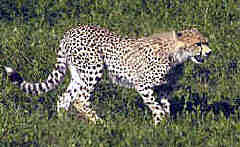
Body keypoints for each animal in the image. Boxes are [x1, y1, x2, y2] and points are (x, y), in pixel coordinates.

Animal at [5, 25, 212, 124]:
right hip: (93, 69)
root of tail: (70, 31)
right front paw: (159, 124)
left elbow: (165, 107)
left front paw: (165, 126)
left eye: (206, 42)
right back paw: (100, 123)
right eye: (198, 44)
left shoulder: (165, 88)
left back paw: (64, 124)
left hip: (79, 74)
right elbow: (157, 108)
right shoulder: (143, 85)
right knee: (80, 99)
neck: (175, 55)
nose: (210, 52)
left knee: (64, 98)